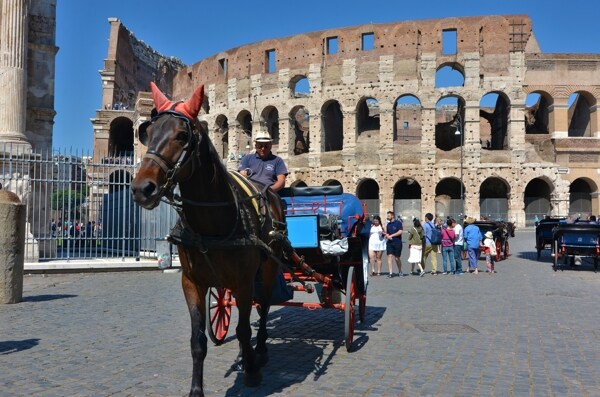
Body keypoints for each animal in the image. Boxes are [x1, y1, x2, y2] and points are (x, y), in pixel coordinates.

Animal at [131, 82, 286, 394]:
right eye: (148, 133)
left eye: (181, 135)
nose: (143, 188)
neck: (212, 222)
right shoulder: (192, 283)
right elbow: (198, 340)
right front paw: (196, 389)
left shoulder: (243, 281)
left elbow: (244, 328)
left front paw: (252, 370)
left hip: (268, 266)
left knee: (263, 306)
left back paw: (260, 351)